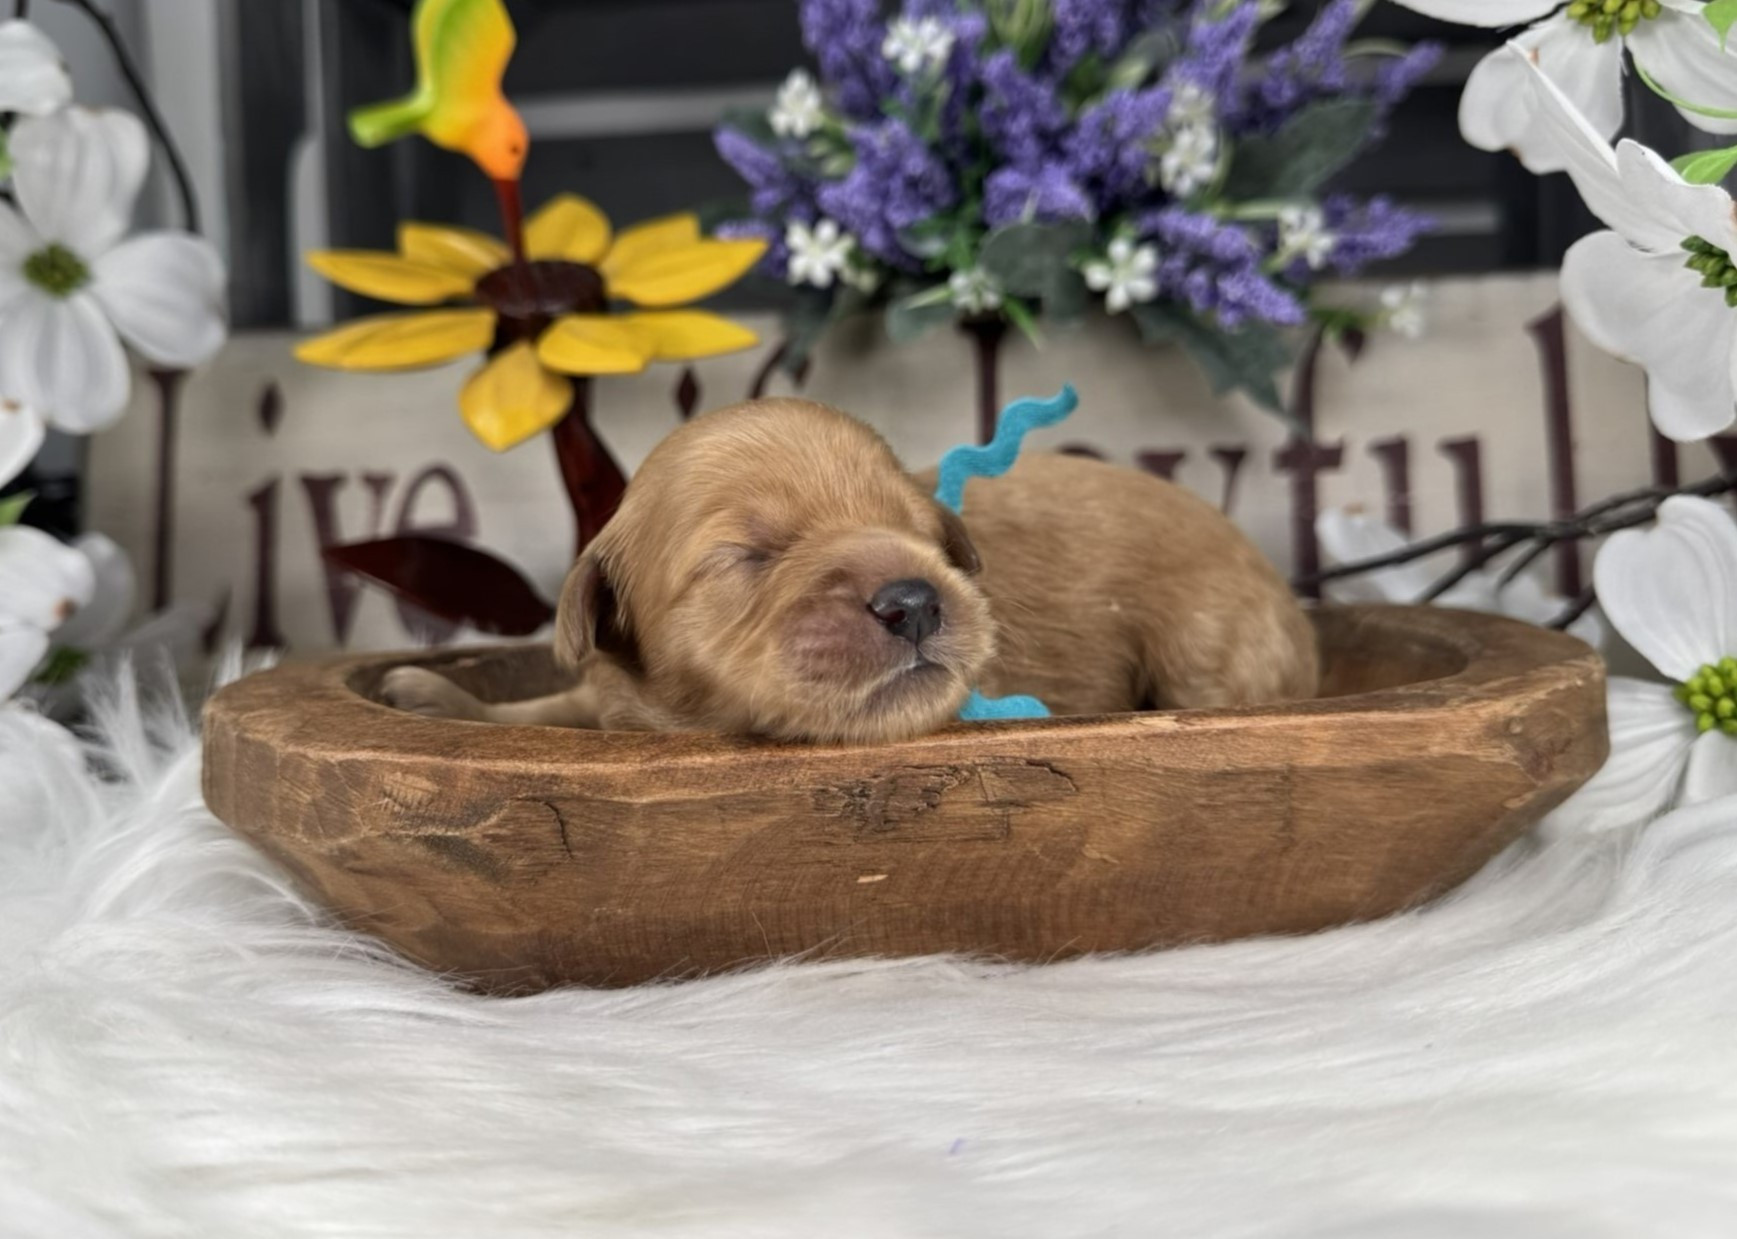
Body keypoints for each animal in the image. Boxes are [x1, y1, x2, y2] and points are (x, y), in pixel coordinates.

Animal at [382, 397, 1319, 742]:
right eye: (747, 556)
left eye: (919, 533)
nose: (913, 600)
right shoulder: (612, 698)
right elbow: (558, 708)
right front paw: (439, 695)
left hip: (1205, 648)